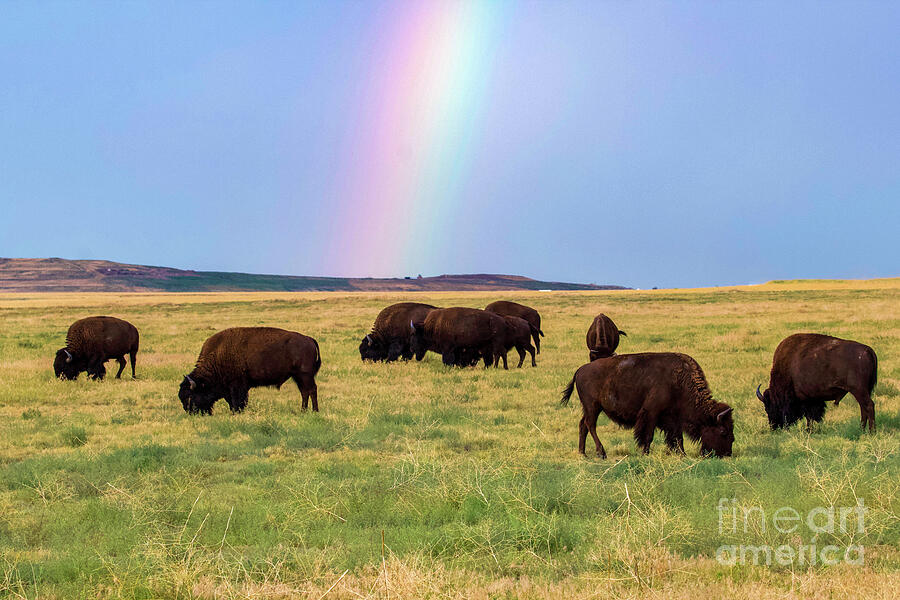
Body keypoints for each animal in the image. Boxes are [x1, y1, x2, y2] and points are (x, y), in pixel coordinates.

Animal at [179, 327, 321, 414]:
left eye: (190, 396)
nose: (191, 413)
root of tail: (308, 339)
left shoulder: (237, 386)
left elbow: (237, 401)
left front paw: (237, 413)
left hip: (305, 375)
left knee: (311, 390)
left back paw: (315, 411)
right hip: (298, 376)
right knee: (304, 392)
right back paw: (303, 411)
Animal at [561, 352, 734, 458]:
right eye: (723, 431)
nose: (727, 454)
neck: (679, 382)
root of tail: (580, 370)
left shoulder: (673, 418)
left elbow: (677, 437)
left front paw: (682, 454)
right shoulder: (651, 413)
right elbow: (649, 435)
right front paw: (645, 453)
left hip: (589, 408)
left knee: (583, 425)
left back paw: (582, 453)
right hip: (593, 406)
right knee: (590, 425)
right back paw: (601, 453)